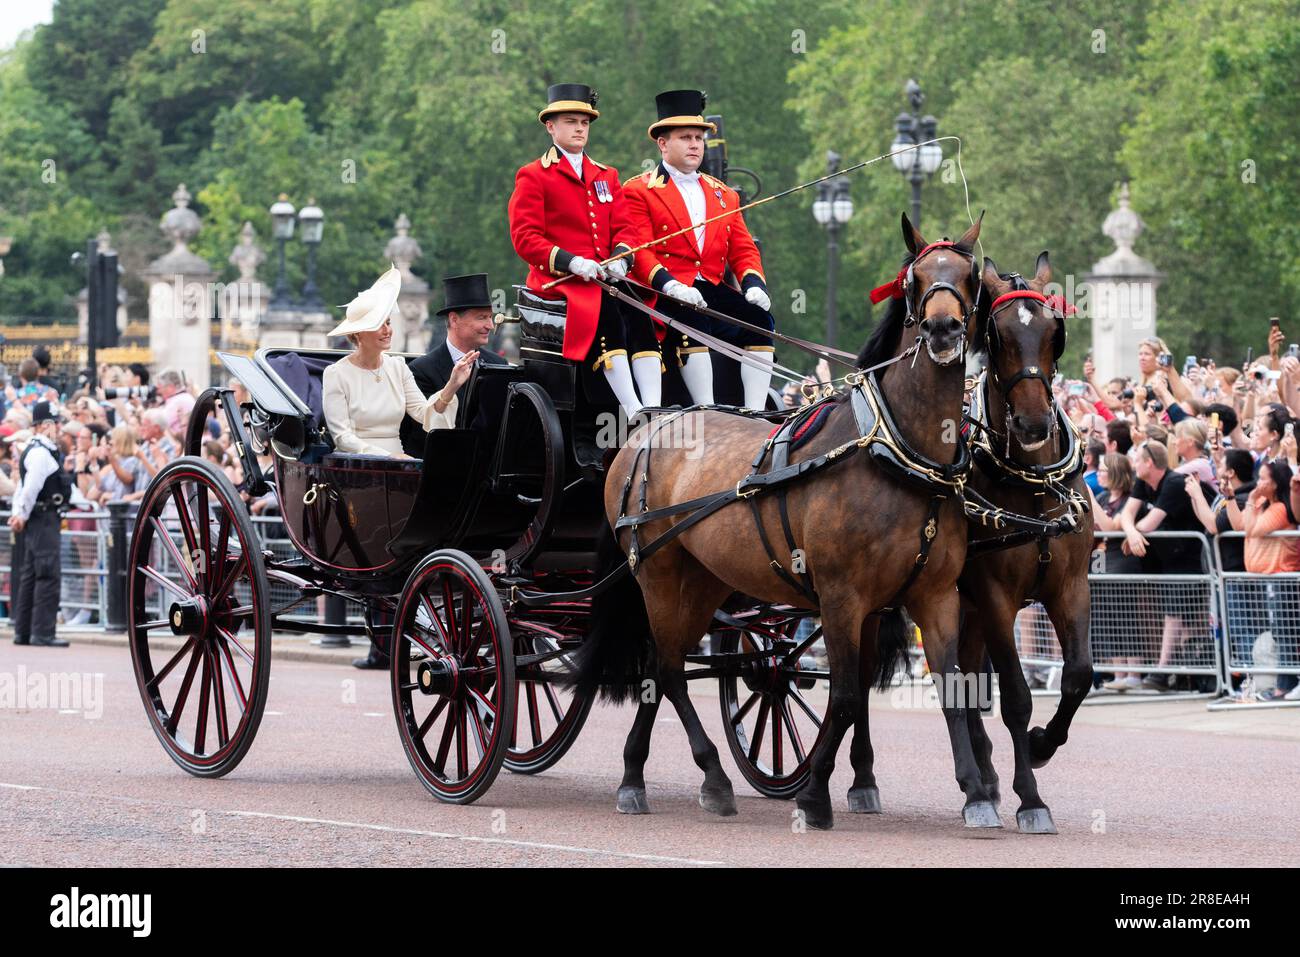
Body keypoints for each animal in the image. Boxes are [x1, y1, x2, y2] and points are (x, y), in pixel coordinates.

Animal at [574, 214, 998, 832]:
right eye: (914, 279)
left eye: (969, 276)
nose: (942, 329)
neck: (896, 453)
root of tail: (646, 429)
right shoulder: (842, 597)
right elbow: (844, 696)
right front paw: (815, 794)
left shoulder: (934, 594)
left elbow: (951, 689)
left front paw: (976, 792)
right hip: (658, 574)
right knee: (669, 669)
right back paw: (705, 776)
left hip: (704, 580)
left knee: (661, 666)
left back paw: (640, 776)